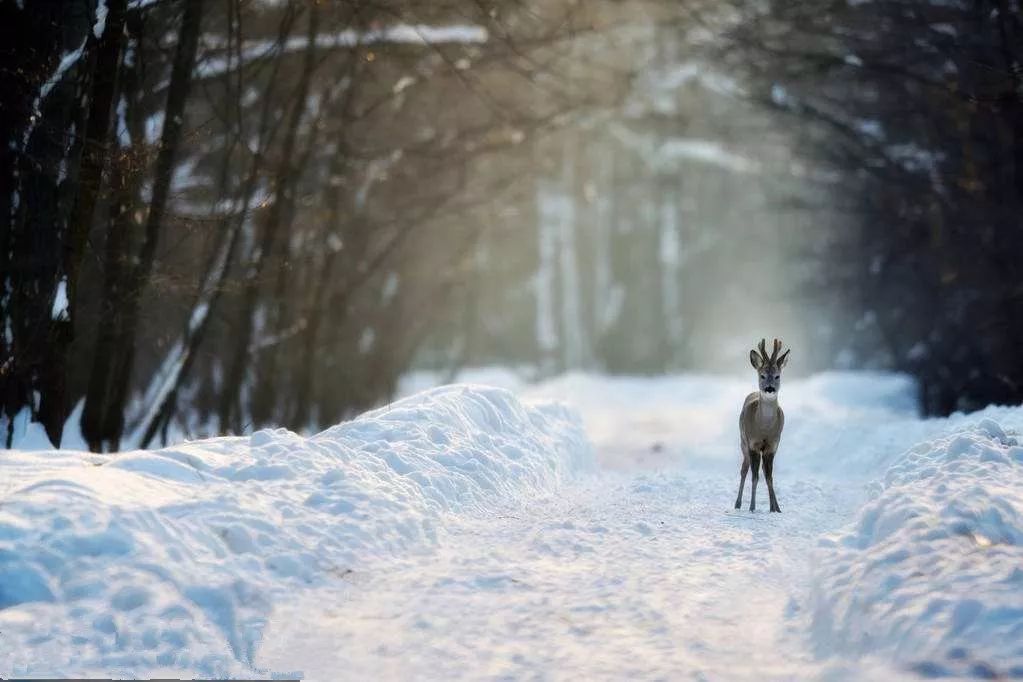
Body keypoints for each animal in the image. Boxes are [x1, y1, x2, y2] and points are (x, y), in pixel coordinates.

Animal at [736, 337, 789, 511]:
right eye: (763, 375)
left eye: (777, 376)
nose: (770, 388)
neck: (764, 428)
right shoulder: (753, 444)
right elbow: (755, 477)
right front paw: (752, 507)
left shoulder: (772, 445)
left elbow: (769, 477)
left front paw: (775, 508)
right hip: (743, 442)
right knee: (744, 470)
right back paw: (738, 503)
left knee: (763, 472)